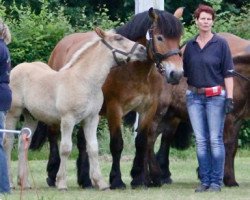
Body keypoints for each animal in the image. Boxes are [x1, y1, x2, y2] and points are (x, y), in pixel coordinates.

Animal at [30, 8, 184, 189]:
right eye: (160, 37)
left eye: (179, 39)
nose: (176, 73)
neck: (133, 71)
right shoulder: (114, 109)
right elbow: (117, 144)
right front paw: (116, 180)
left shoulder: (148, 109)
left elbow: (141, 141)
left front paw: (138, 179)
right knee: (54, 136)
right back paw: (53, 175)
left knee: (83, 142)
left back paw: (86, 180)